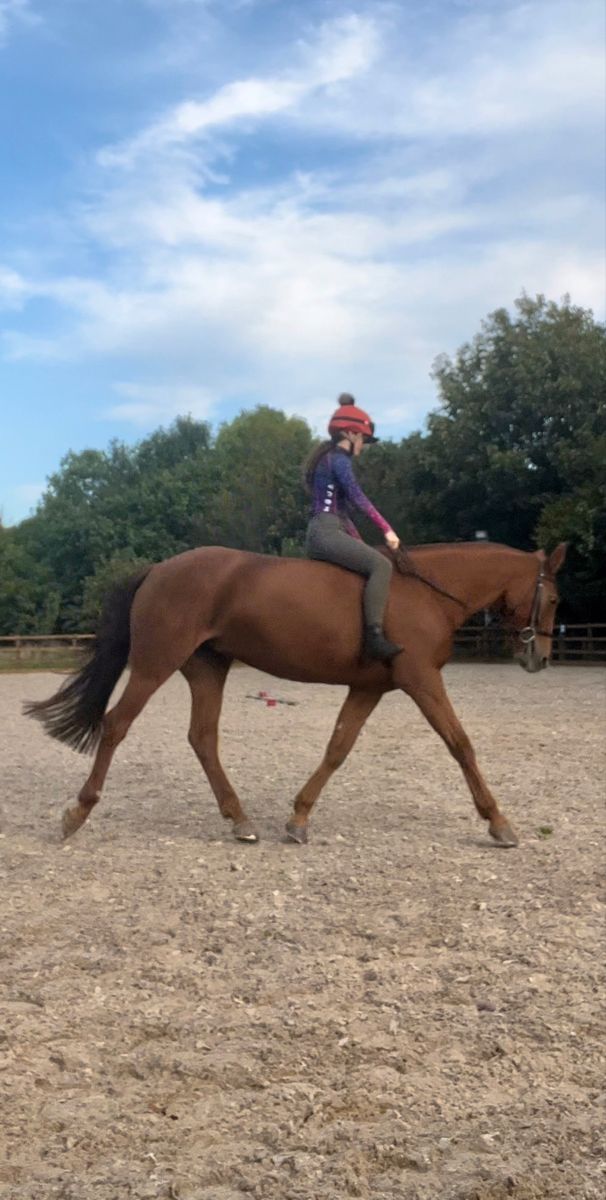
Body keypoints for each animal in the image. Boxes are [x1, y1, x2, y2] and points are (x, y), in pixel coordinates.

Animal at [25, 540, 566, 849]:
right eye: (555, 597)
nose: (540, 658)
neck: (427, 593)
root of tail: (158, 569)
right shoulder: (421, 681)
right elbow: (461, 745)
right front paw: (498, 823)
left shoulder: (369, 687)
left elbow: (338, 748)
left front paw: (299, 818)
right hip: (156, 663)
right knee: (117, 725)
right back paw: (77, 812)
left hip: (207, 669)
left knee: (203, 738)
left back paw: (240, 819)